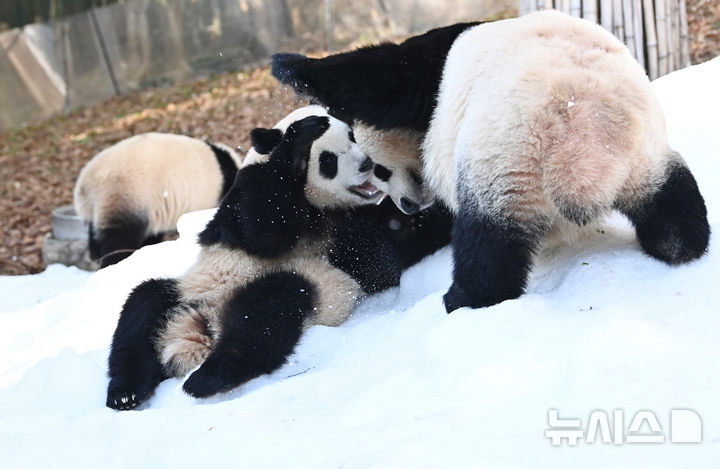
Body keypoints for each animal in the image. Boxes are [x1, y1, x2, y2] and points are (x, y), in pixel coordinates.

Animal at [104, 109, 452, 410]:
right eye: (328, 159)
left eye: (353, 137)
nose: (367, 164)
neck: (313, 203)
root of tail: (202, 329)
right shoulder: (238, 205)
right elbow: (261, 225)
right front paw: (300, 137)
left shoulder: (353, 229)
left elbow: (376, 258)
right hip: (189, 289)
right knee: (139, 314)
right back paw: (126, 393)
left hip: (306, 287)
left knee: (269, 309)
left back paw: (205, 377)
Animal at [272, 9, 712, 312]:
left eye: (378, 169)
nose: (407, 206)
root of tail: (582, 143)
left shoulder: (424, 82)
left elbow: (375, 76)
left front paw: (288, 64)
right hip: (643, 152)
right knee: (672, 201)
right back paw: (680, 243)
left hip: (503, 160)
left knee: (488, 245)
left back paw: (463, 300)